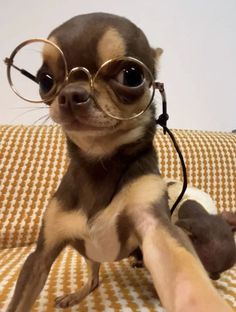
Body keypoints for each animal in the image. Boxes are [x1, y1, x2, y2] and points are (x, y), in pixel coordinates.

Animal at [6, 12, 233, 312]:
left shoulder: (156, 227)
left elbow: (186, 277)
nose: (71, 95)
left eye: (131, 75)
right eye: (45, 80)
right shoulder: (40, 256)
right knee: (93, 278)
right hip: (91, 253)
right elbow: (20, 298)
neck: (99, 162)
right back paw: (76, 294)